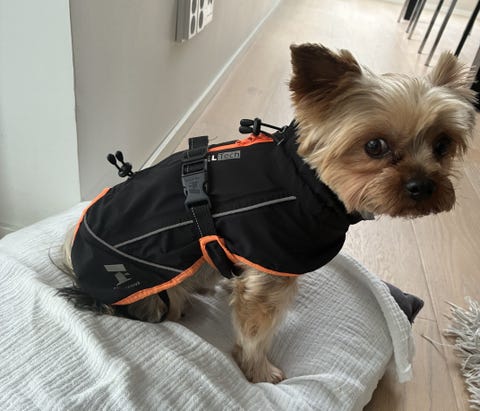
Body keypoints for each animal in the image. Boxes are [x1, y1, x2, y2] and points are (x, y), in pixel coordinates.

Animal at [59, 44, 476, 384]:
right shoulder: (268, 274)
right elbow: (255, 332)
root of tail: (76, 267)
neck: (304, 179)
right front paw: (259, 372)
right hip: (155, 288)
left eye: (443, 144)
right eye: (374, 146)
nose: (423, 187)